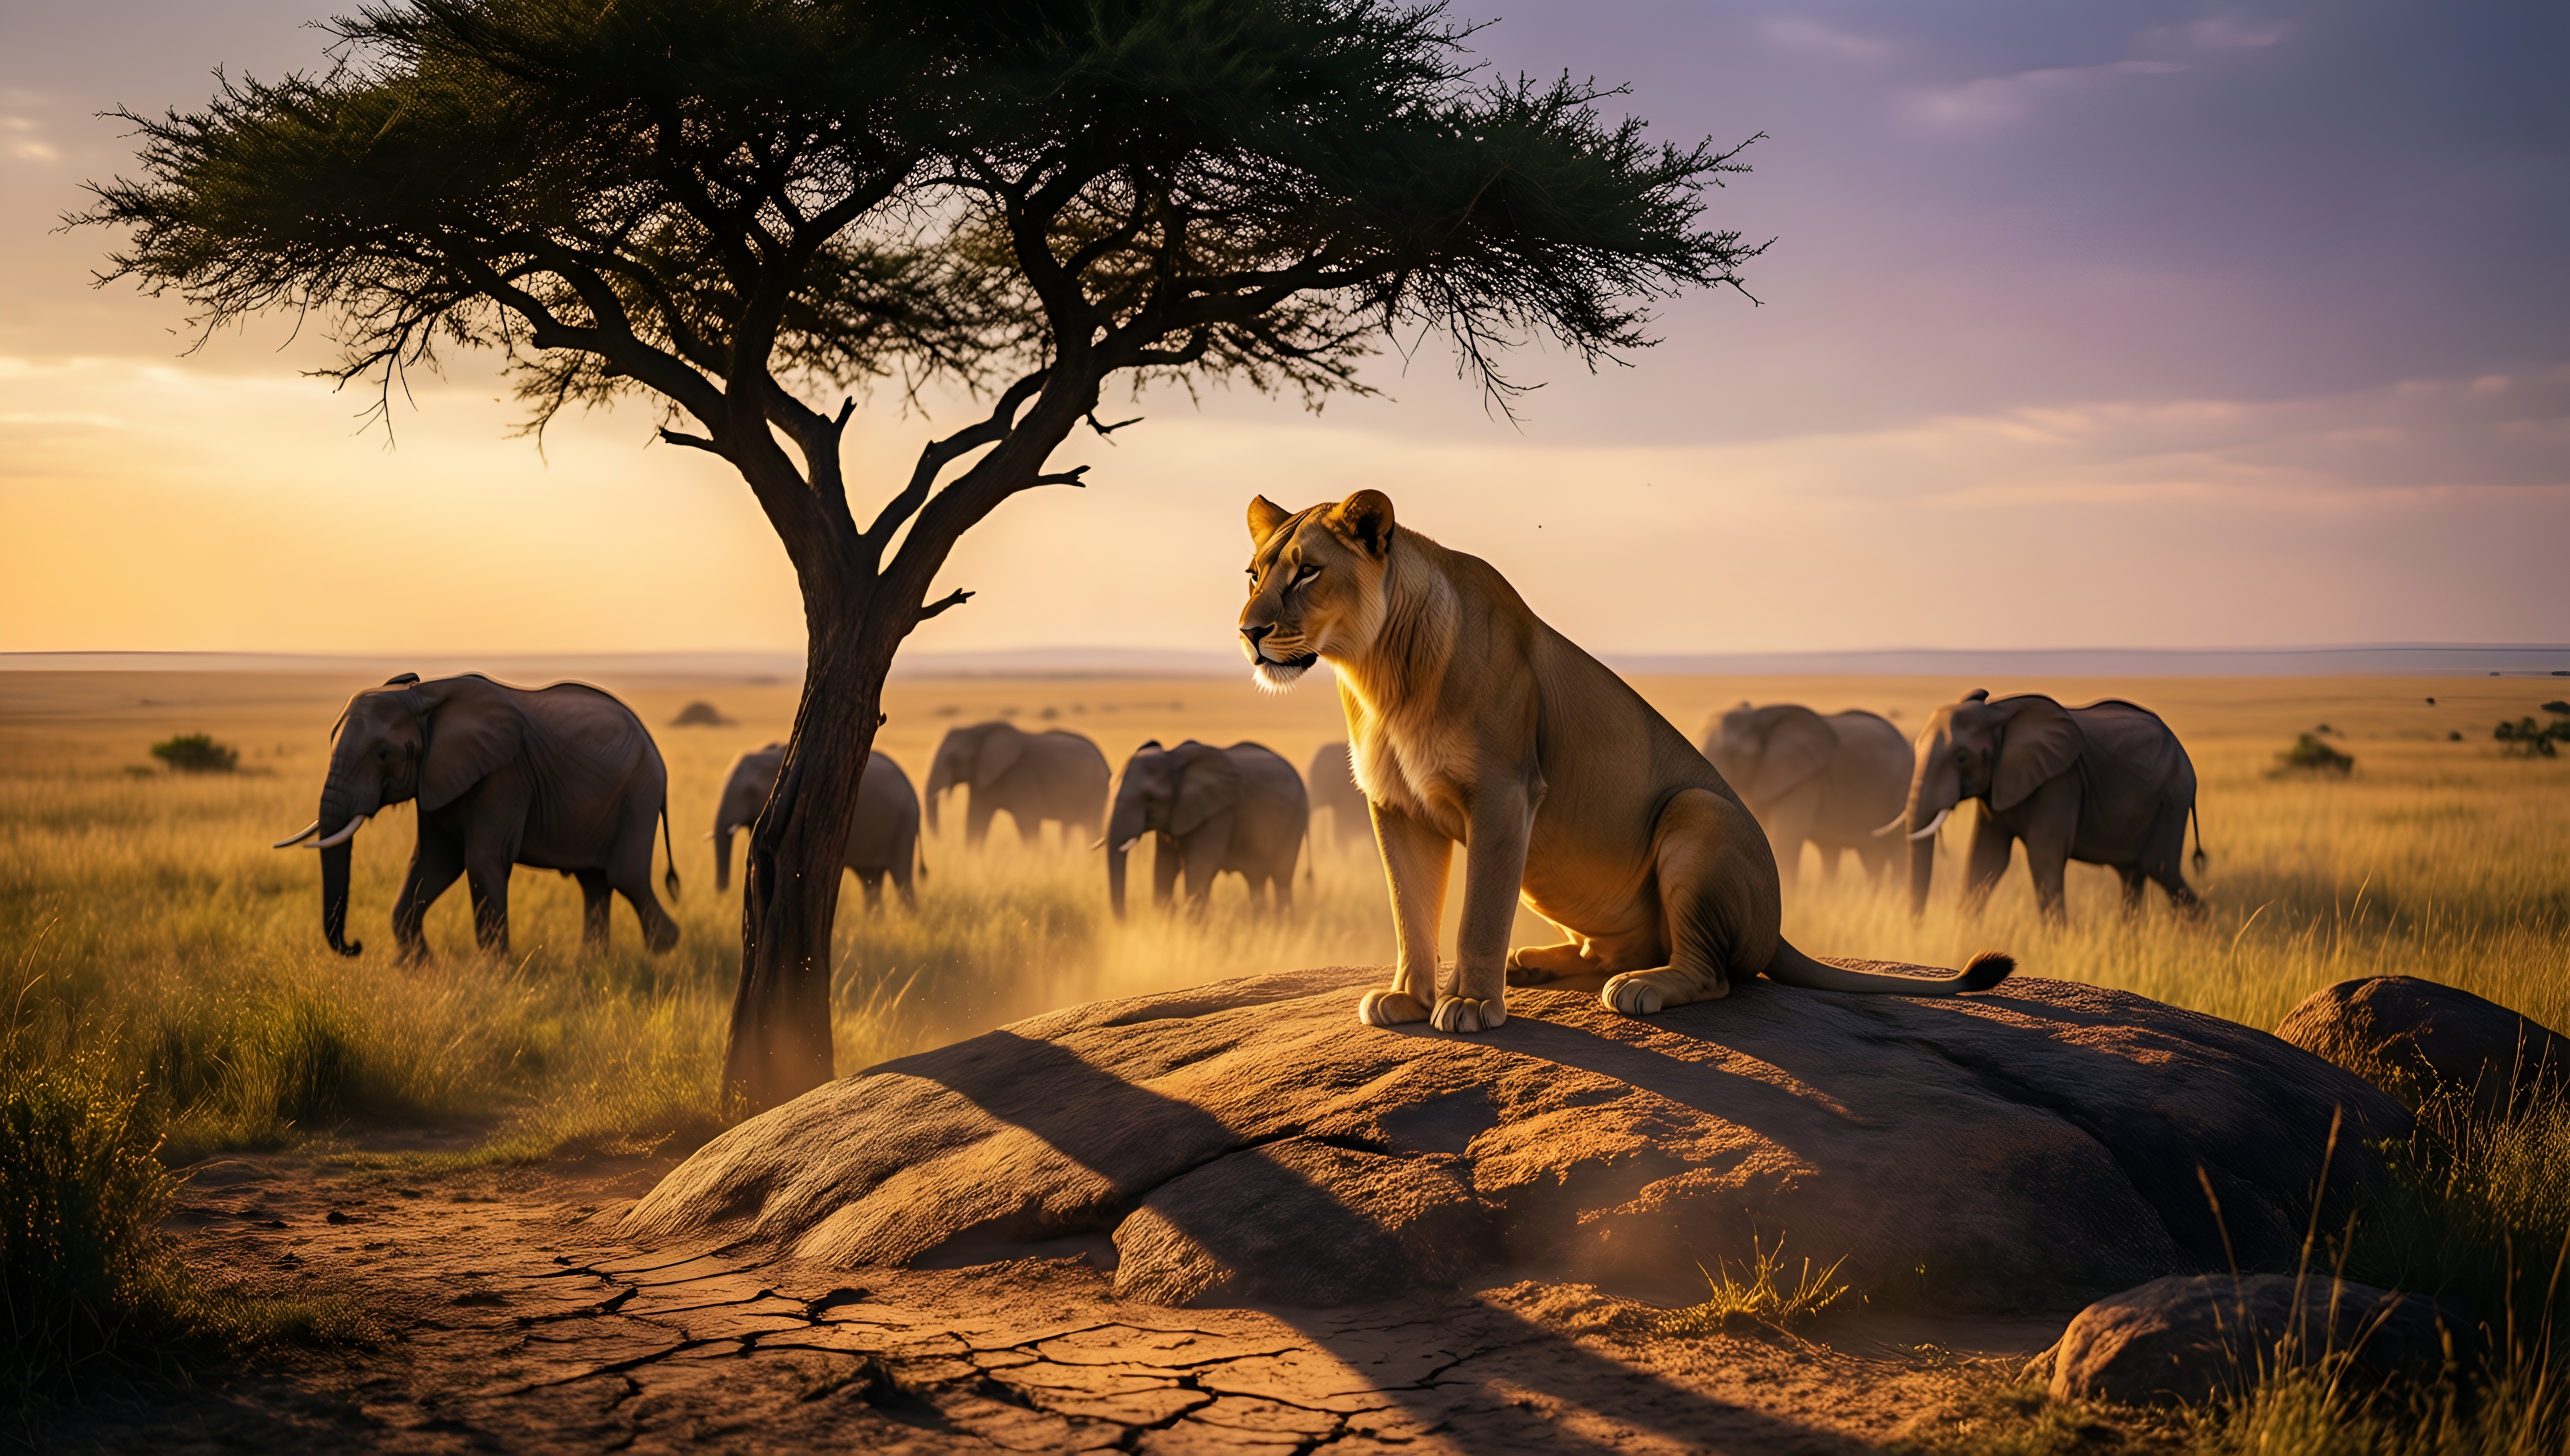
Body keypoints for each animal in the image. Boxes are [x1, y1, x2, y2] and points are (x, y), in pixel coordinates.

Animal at [271, 673, 678, 959]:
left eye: (383, 754)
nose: (355, 946)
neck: (422, 697)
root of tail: (654, 746)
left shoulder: (504, 776)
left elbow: (482, 861)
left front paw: (494, 980)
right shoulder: (436, 778)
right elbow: (434, 862)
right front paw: (419, 969)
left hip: (639, 793)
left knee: (626, 877)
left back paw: (663, 953)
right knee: (594, 882)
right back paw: (592, 963)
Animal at [712, 744, 923, 912]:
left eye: (750, 792)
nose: (723, 895)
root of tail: (912, 789)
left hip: (903, 825)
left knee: (901, 878)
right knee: (871, 880)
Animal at [924, 721, 1110, 849]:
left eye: (953, 759)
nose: (942, 841)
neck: (980, 730)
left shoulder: (1023, 776)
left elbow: (1028, 821)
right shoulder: (981, 778)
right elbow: (976, 819)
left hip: (1095, 790)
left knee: (1091, 826)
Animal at [1106, 740, 1308, 918]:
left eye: (1151, 798)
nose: (1125, 922)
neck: (1173, 757)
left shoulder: (1218, 814)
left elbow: (1200, 867)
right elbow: (1164, 866)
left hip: (1297, 817)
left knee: (1282, 877)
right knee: (1256, 878)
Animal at [1896, 689, 2204, 921]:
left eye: (1961, 757)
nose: (1916, 931)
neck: (1999, 711)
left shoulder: (2060, 782)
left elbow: (2043, 859)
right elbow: (1985, 861)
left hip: (2172, 797)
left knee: (2161, 869)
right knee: (2132, 876)